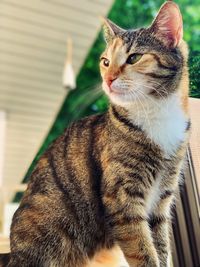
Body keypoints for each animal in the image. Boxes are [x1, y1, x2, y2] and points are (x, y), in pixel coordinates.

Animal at [0, 1, 191, 266]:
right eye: (105, 61)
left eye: (134, 57)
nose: (108, 79)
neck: (155, 113)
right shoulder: (122, 201)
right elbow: (144, 252)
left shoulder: (161, 201)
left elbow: (160, 248)